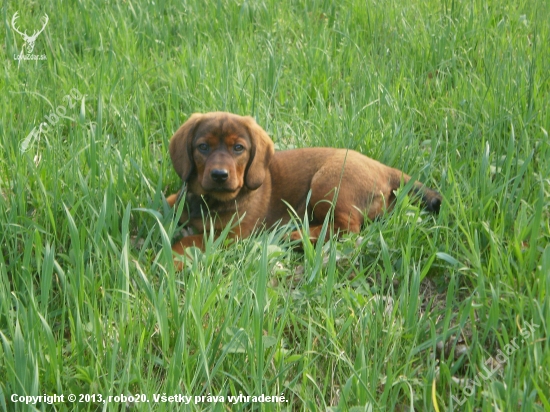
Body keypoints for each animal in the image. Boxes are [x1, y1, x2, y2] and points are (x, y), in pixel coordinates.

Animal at [168, 112, 444, 268]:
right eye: (203, 147)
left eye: (238, 148)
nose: (219, 175)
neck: (210, 200)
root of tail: (385, 169)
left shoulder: (231, 234)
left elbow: (191, 239)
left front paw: (171, 258)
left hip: (327, 184)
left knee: (346, 229)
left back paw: (295, 236)